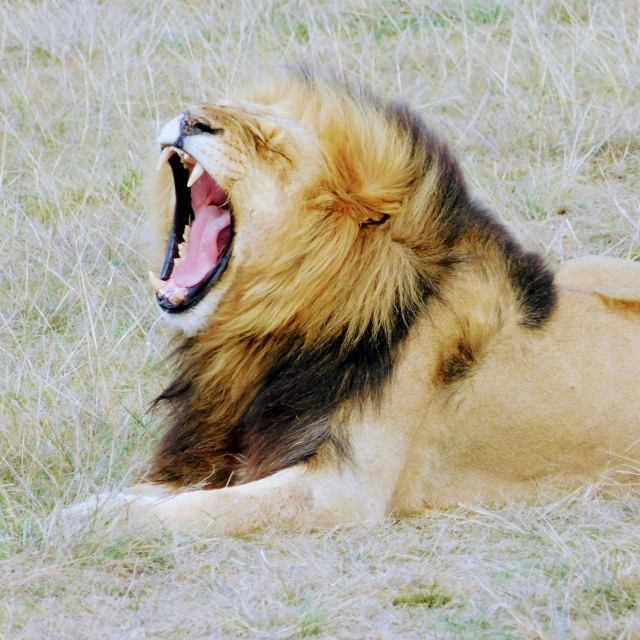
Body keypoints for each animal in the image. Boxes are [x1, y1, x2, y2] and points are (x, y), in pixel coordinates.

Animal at [85, 67, 640, 532]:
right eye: (220, 108)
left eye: (270, 146)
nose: (189, 119)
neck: (261, 332)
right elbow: (166, 491)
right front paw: (102, 501)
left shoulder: (343, 491)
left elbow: (205, 506)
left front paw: (91, 519)